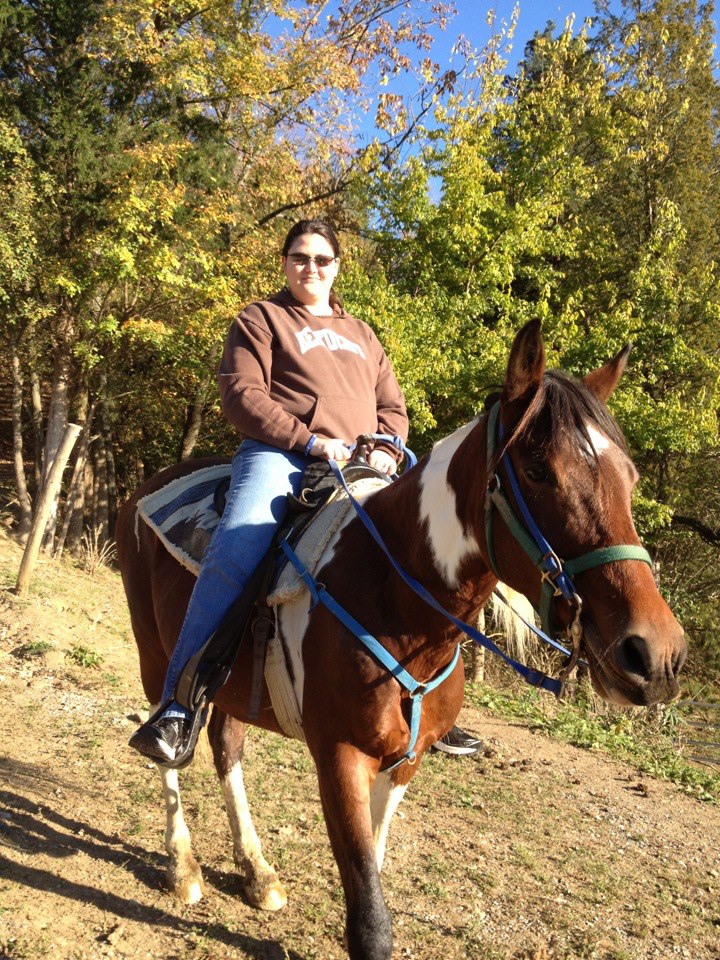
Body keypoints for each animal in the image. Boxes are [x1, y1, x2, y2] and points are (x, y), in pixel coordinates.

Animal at [115, 319, 686, 960]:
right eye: (540, 470)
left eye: (629, 478)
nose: (657, 655)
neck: (393, 594)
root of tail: (148, 486)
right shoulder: (339, 759)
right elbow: (371, 921)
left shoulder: (403, 762)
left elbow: (377, 858)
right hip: (156, 655)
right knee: (170, 743)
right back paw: (182, 864)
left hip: (234, 683)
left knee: (225, 745)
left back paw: (257, 871)